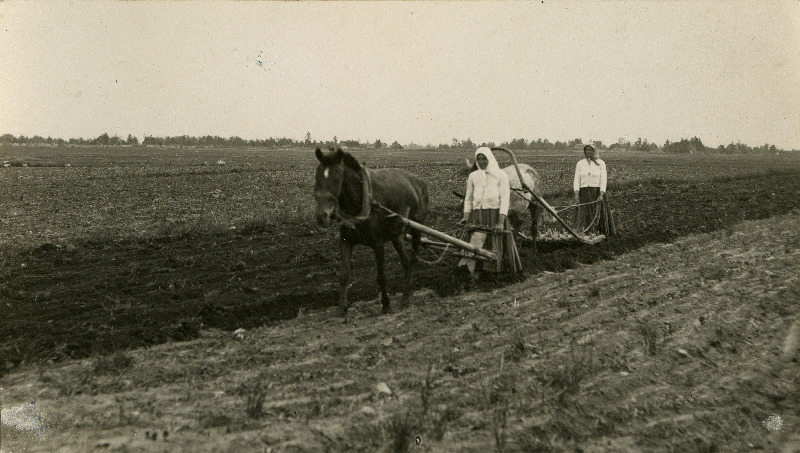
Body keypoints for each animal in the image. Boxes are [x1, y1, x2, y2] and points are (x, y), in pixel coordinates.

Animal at [312, 148, 428, 318]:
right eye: (317, 174)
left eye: (338, 175)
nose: (322, 215)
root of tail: (419, 182)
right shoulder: (345, 240)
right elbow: (344, 275)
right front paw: (341, 309)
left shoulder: (378, 243)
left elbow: (381, 276)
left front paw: (386, 306)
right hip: (397, 234)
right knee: (406, 262)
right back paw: (407, 294)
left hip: (417, 229)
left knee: (413, 260)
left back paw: (406, 298)